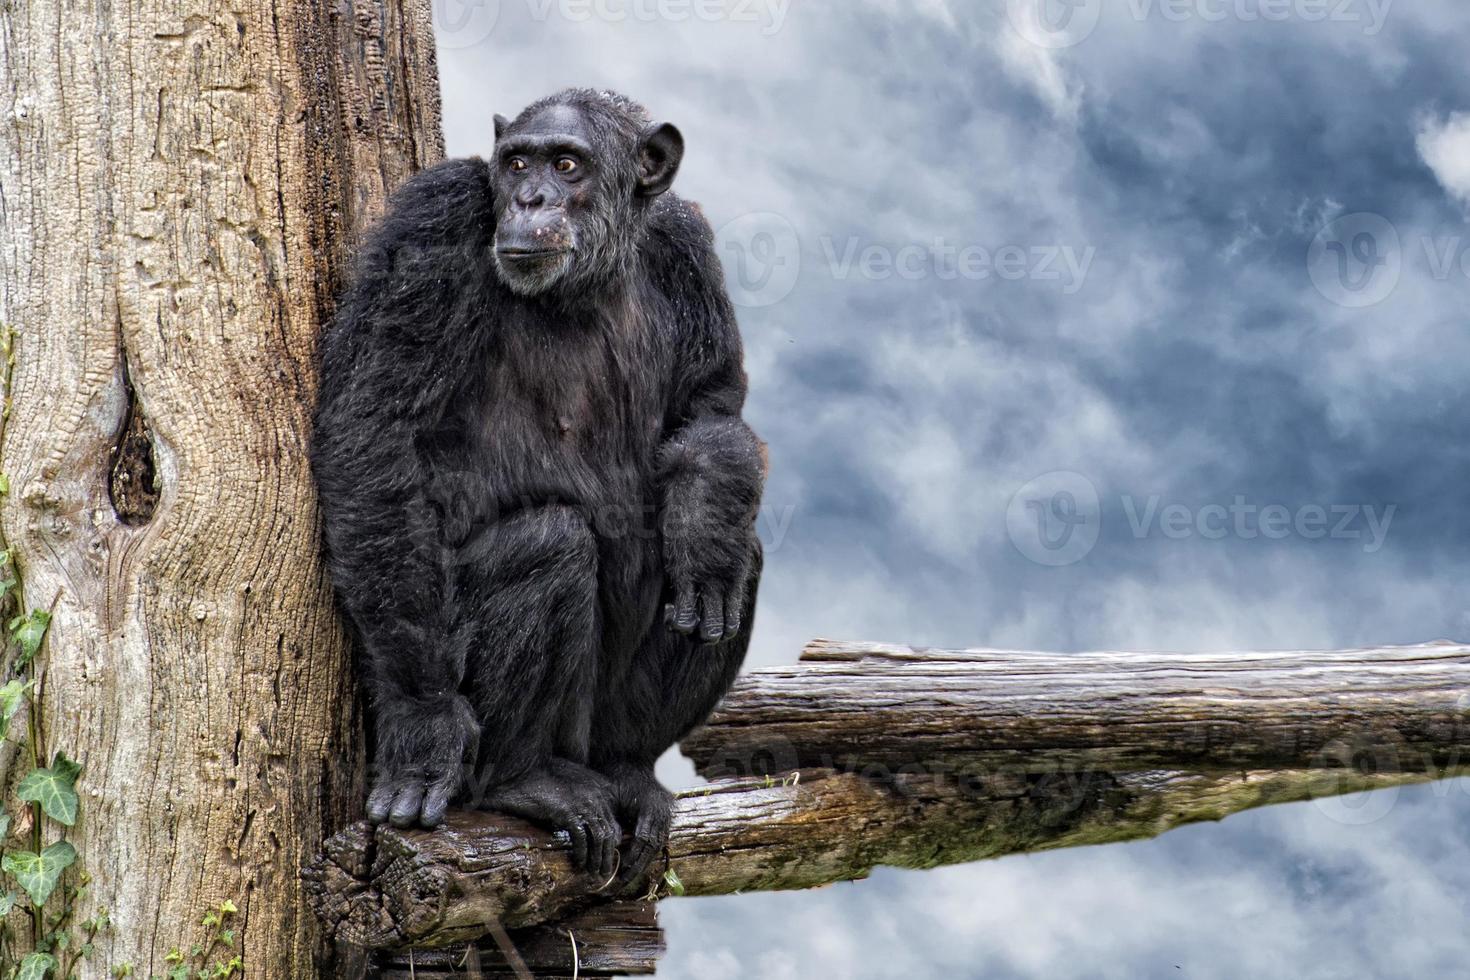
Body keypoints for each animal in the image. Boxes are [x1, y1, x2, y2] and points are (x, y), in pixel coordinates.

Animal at [313, 91, 770, 887]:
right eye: (518, 164)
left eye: (567, 164)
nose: (530, 200)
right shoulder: (435, 221)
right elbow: (375, 429)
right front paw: (424, 723)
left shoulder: (688, 244)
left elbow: (710, 407)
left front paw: (707, 518)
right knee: (550, 545)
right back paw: (520, 779)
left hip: (601, 729)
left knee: (738, 564)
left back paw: (630, 768)